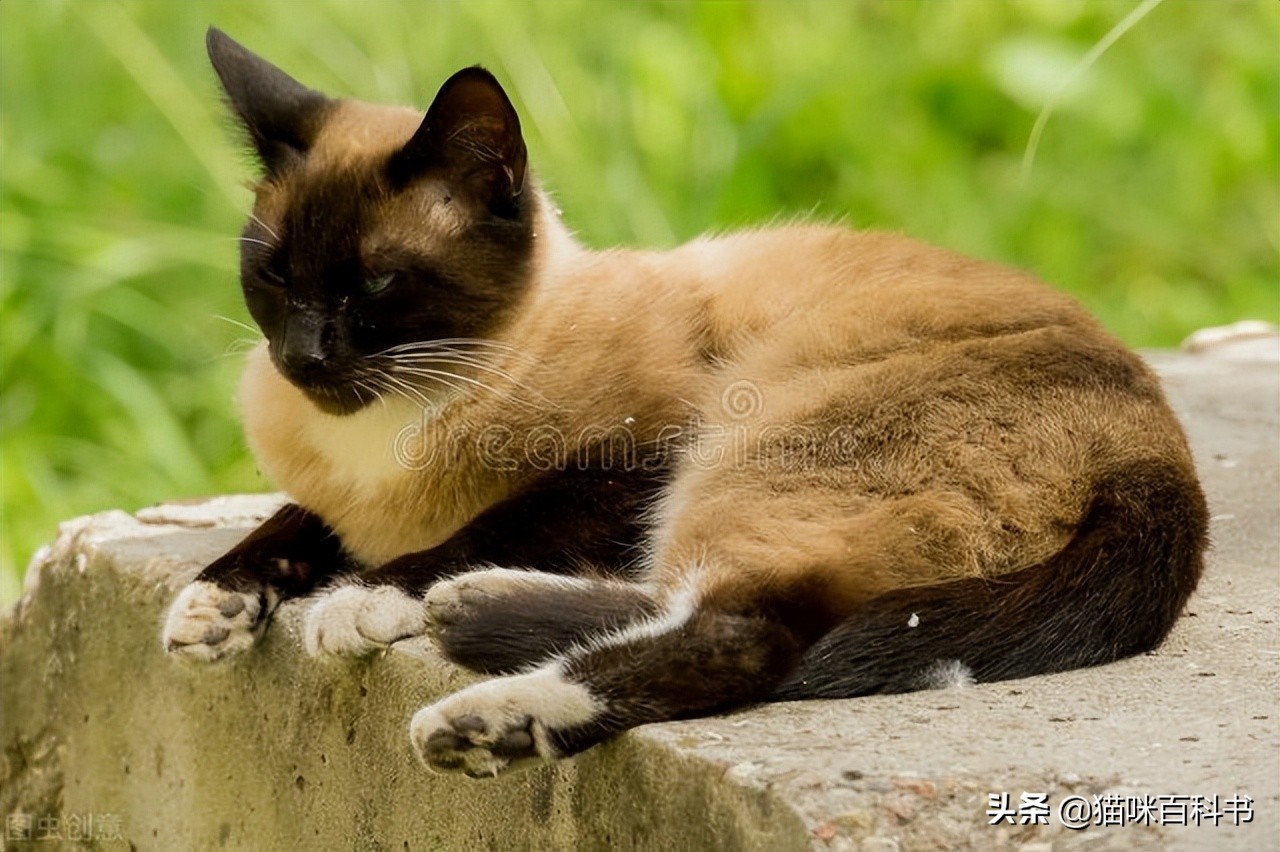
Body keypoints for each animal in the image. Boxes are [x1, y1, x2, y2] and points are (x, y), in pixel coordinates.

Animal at [164, 28, 1208, 778]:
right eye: (272, 273)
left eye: (377, 284)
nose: (301, 355)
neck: (389, 434)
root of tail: (1161, 457)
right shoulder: (341, 501)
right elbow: (287, 525)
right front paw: (211, 611)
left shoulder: (634, 461)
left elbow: (472, 530)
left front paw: (360, 602)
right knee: (690, 596)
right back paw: (477, 611)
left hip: (750, 444)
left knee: (746, 632)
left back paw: (483, 718)